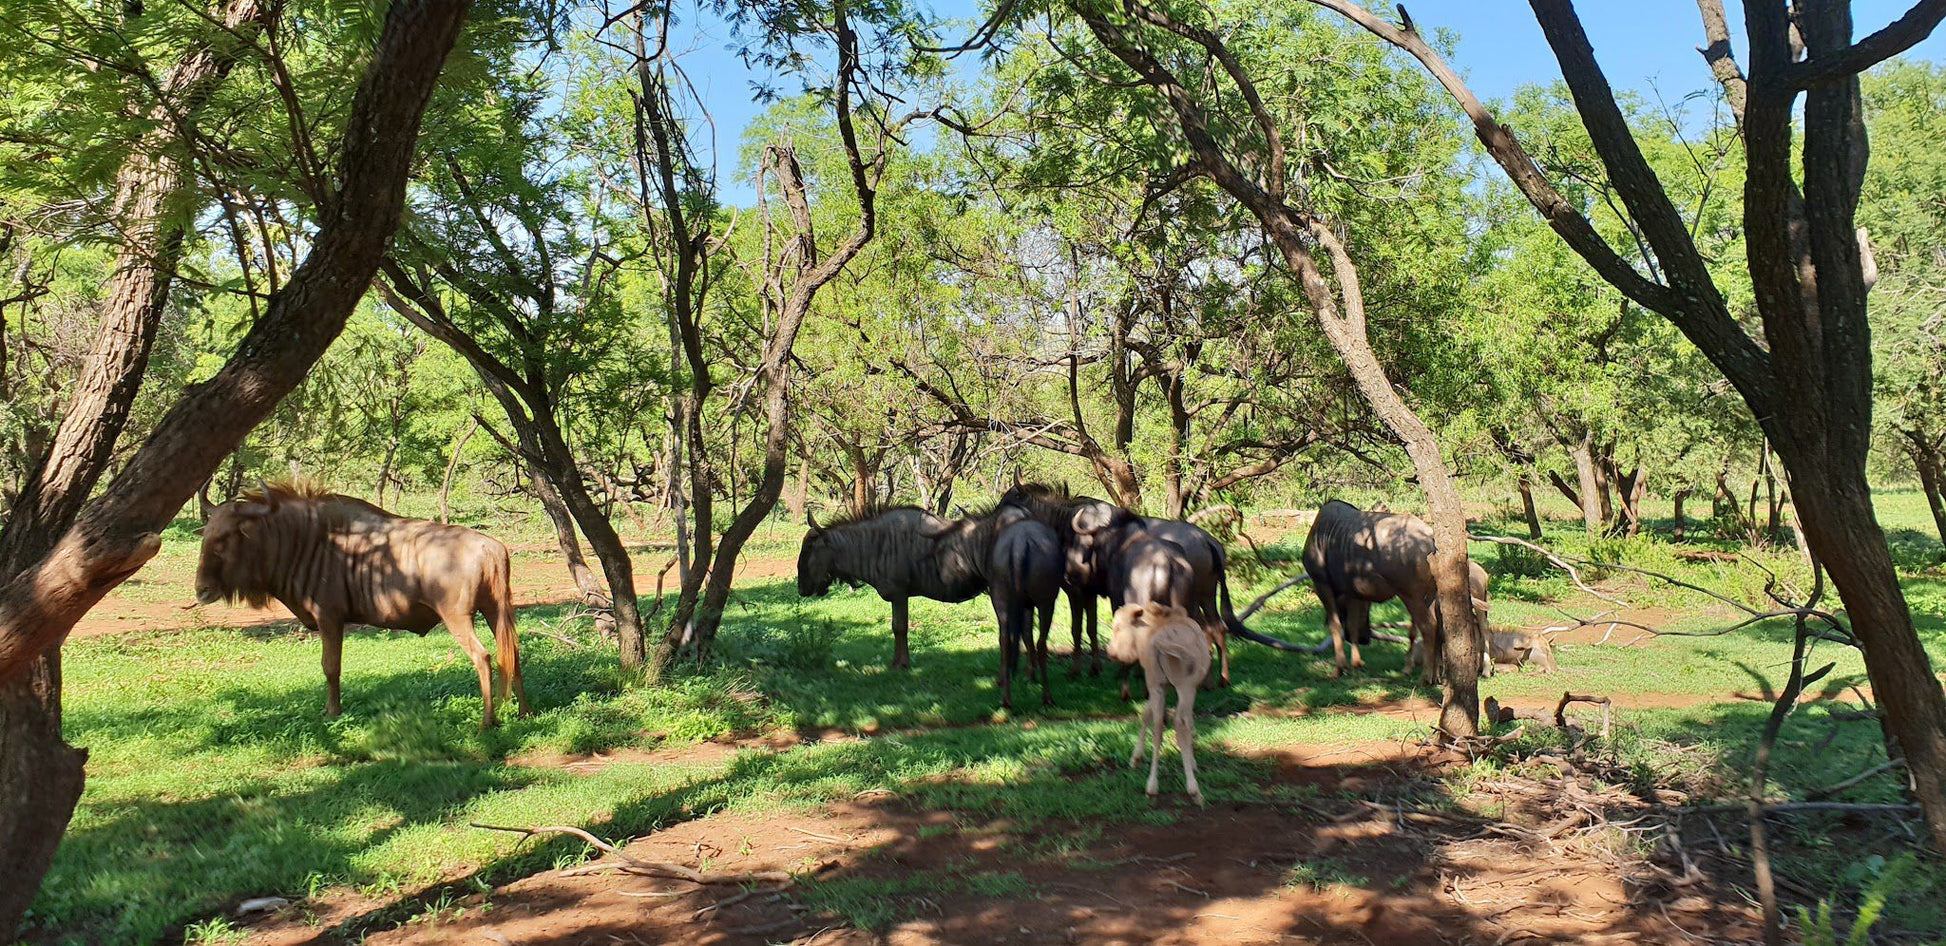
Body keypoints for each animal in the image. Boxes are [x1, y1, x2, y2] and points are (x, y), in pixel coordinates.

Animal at [194, 484, 529, 727]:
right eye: (206, 535)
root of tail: (490, 547)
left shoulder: (329, 618)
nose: (201, 590)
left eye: (225, 538)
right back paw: (523, 712)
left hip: (458, 618)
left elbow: (330, 667)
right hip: (495, 612)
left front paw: (332, 712)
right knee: (512, 654)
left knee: (483, 657)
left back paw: (487, 721)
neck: (307, 538)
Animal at [1105, 607, 1206, 805]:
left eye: (1118, 627)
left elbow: (1147, 714)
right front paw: (1192, 762)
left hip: (1158, 683)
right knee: (1179, 724)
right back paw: (1194, 790)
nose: (1111, 652)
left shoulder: (1159, 686)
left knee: (1159, 726)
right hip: (1185, 687)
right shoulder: (1182, 688)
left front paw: (1136, 758)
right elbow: (1188, 721)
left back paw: (1152, 786)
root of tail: (1162, 643)